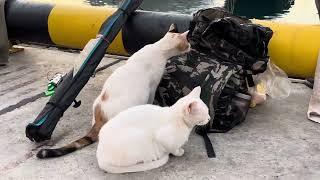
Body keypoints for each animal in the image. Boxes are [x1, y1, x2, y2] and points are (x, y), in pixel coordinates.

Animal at [36, 23, 191, 158]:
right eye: (188, 44)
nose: (191, 47)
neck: (158, 49)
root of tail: (100, 116)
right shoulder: (152, 87)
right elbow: (151, 99)